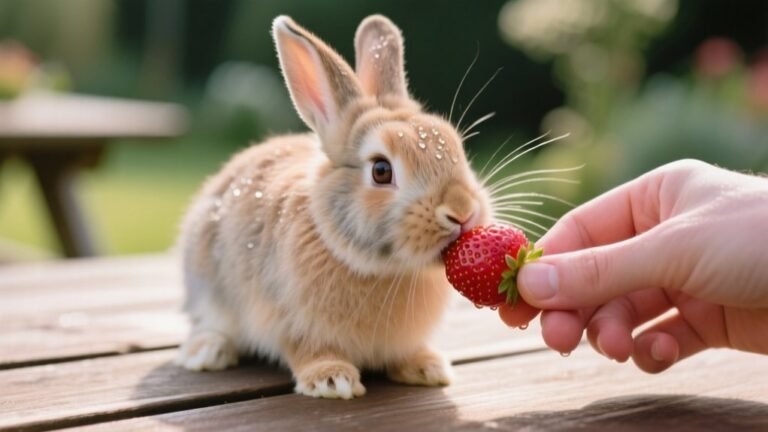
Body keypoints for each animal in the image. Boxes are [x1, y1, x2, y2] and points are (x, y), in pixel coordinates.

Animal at [174, 14, 493, 399]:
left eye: (455, 147)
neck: (379, 268)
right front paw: (331, 380)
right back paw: (208, 352)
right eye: (381, 171)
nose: (463, 211)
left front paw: (427, 367)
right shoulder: (288, 320)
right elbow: (306, 349)